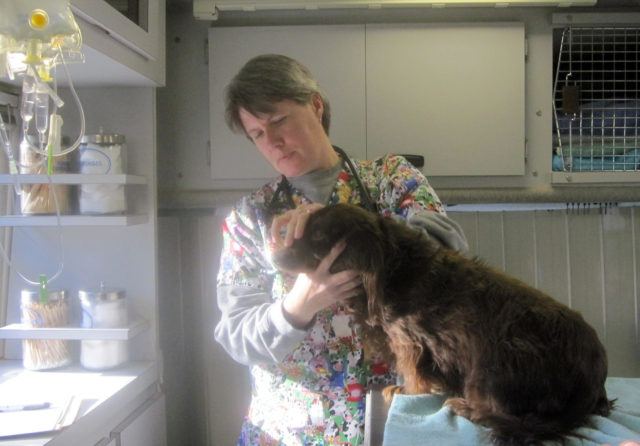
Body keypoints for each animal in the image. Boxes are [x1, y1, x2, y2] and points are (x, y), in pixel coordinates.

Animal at [272, 203, 613, 446]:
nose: (275, 257)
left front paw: (405, 390)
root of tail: (593, 377)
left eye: (318, 236)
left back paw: (469, 408)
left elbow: (412, 373)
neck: (392, 267)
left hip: (491, 362)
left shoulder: (408, 340)